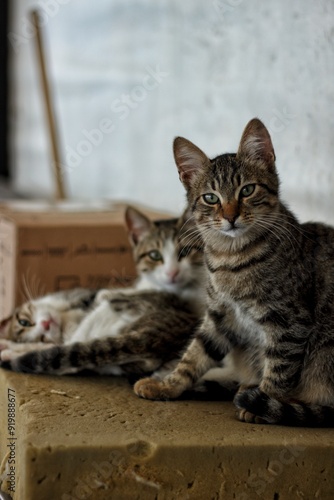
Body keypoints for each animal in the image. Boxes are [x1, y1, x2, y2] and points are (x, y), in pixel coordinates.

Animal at [0, 205, 205, 376]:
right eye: (41, 335)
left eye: (24, 322)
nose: (45, 325)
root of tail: (153, 337)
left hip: (102, 314)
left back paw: (9, 351)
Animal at [134, 117, 334, 426]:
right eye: (210, 197)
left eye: (247, 190)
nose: (230, 216)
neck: (230, 258)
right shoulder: (220, 316)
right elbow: (193, 356)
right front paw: (166, 385)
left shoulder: (289, 322)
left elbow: (279, 369)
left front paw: (263, 402)